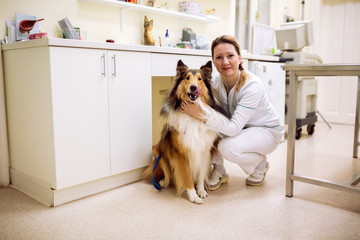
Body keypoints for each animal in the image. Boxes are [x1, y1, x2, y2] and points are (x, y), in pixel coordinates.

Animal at [143, 59, 228, 203]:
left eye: (199, 79)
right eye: (187, 78)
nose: (193, 87)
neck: (192, 115)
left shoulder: (204, 151)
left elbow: (200, 174)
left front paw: (201, 191)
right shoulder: (180, 153)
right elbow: (187, 176)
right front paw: (193, 196)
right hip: (159, 151)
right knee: (165, 174)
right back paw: (163, 182)